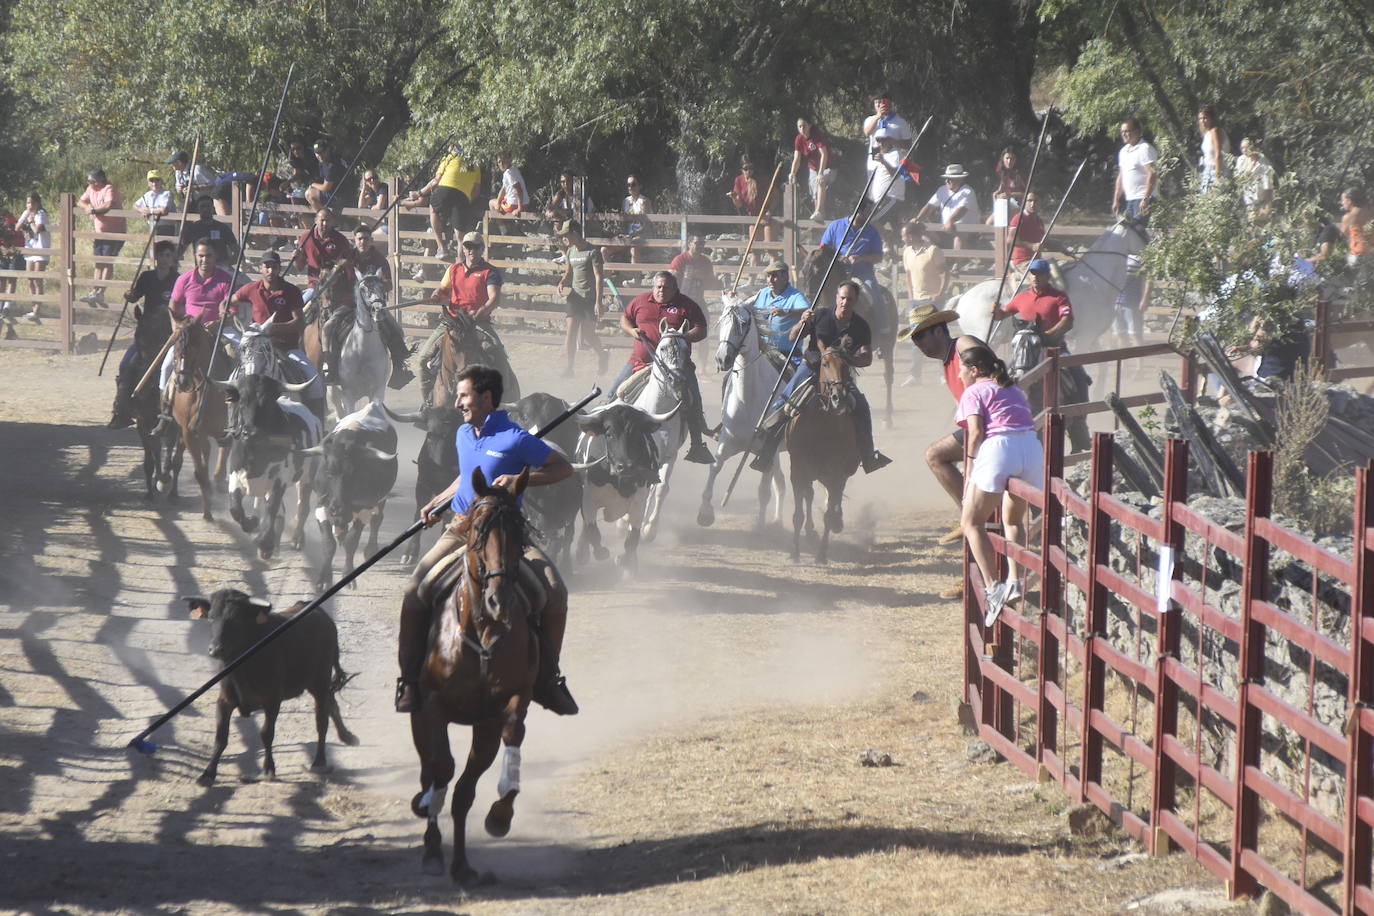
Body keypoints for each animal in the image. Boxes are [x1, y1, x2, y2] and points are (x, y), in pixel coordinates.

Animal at [406, 469, 541, 884]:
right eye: (479, 529)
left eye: (519, 530)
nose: (499, 600)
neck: (480, 627)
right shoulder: (433, 707)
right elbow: (441, 768)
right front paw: (432, 840)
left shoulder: (503, 707)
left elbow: (504, 746)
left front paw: (500, 815)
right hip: (417, 716)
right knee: (428, 769)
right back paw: (430, 837)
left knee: (460, 787)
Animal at [697, 293, 785, 530]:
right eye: (721, 322)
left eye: (743, 324)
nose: (722, 358)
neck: (749, 399)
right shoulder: (728, 441)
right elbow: (714, 467)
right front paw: (705, 513)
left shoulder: (768, 451)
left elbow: (763, 491)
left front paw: (760, 527)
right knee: (780, 481)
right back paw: (777, 519)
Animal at [785, 346, 857, 565]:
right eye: (825, 364)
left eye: (846, 365)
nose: (838, 398)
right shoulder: (797, 471)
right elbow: (798, 514)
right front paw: (795, 552)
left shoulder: (837, 474)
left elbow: (828, 513)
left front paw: (822, 555)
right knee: (809, 496)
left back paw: (835, 522)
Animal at [796, 245, 901, 428]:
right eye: (803, 270)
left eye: (818, 270)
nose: (809, 297)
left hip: (888, 345)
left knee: (888, 376)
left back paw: (887, 418)